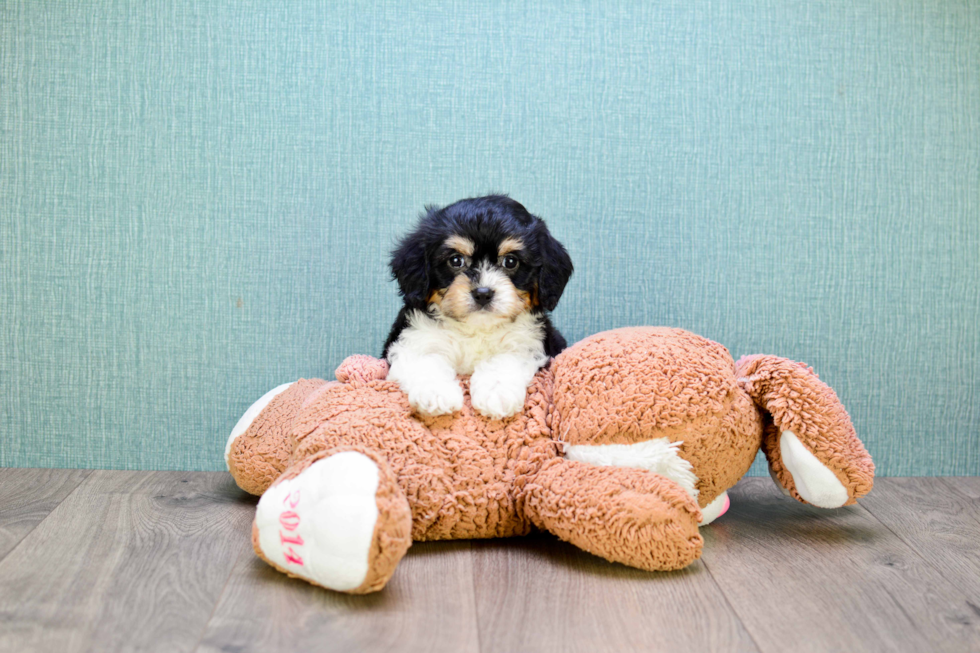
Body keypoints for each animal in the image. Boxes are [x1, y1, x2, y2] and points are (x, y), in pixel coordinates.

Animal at [378, 195, 572, 418]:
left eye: (510, 261)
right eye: (456, 260)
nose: (483, 293)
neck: (476, 328)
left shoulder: (528, 343)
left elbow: (505, 360)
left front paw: (497, 393)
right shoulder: (413, 340)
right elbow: (425, 361)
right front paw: (436, 394)